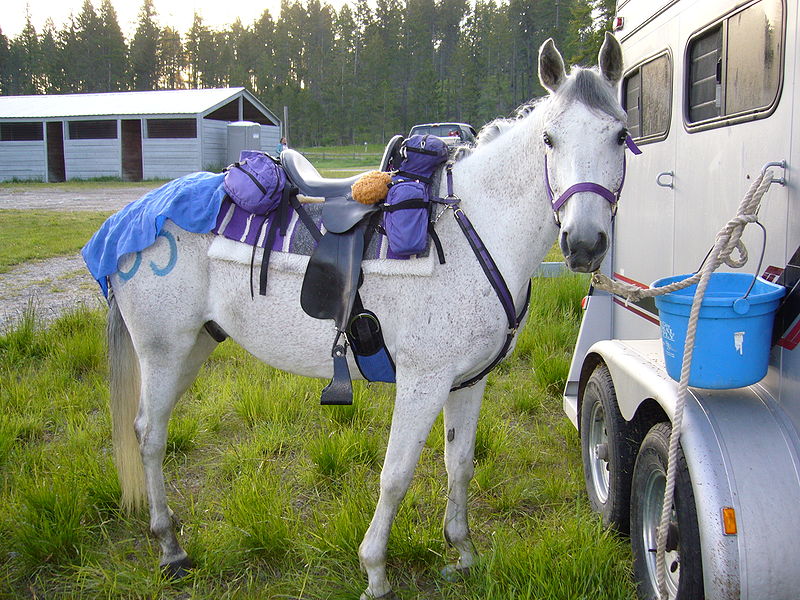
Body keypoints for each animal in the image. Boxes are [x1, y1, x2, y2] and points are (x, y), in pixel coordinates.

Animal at [108, 35, 632, 596]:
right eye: (549, 139)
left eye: (621, 135)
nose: (583, 244)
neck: (475, 228)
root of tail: (133, 216)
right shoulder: (424, 380)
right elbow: (396, 474)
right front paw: (376, 571)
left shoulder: (468, 382)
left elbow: (459, 464)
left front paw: (463, 552)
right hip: (163, 350)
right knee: (150, 434)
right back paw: (169, 547)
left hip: (195, 346)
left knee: (154, 427)